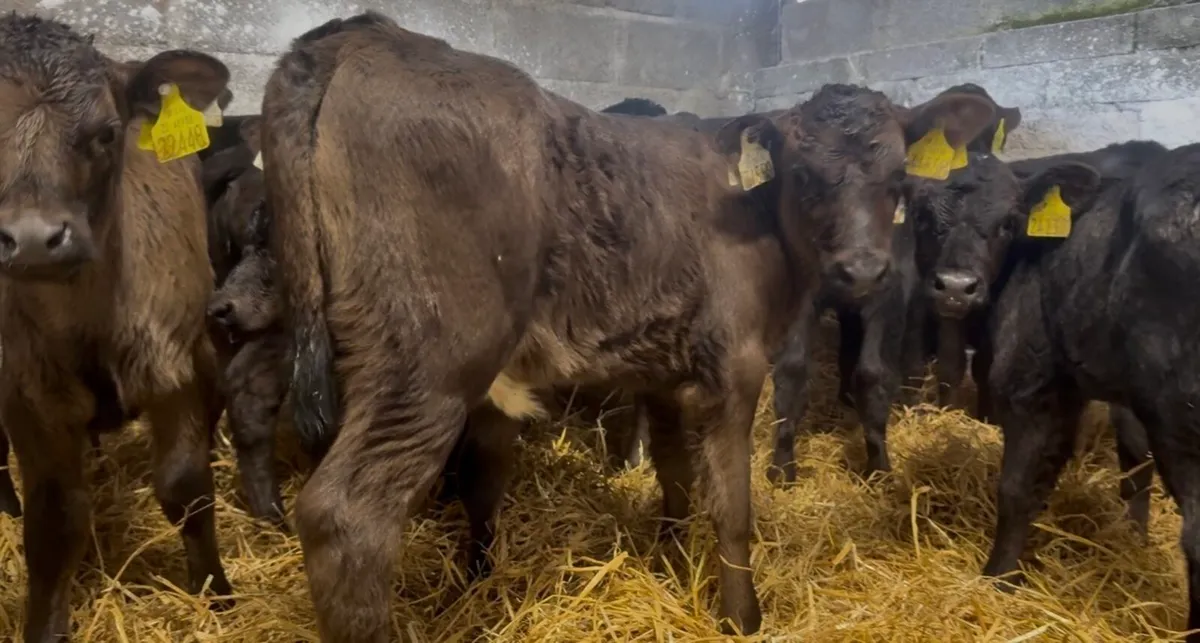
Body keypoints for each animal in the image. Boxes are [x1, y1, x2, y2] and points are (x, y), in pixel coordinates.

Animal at [0, 14, 235, 641]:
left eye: (107, 133)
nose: (33, 239)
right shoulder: (28, 394)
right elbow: (55, 520)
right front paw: (45, 623)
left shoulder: (179, 361)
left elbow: (185, 487)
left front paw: (217, 593)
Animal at [260, 12, 995, 639]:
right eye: (805, 174)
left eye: (897, 175)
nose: (863, 269)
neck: (760, 231)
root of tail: (367, 33)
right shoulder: (735, 367)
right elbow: (732, 505)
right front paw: (743, 616)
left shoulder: (666, 373)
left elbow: (675, 475)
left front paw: (672, 561)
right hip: (429, 358)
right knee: (347, 517)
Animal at [767, 84, 1022, 484]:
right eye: (801, 176)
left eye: (898, 175)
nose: (861, 269)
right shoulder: (800, 290)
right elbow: (790, 371)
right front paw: (781, 469)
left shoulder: (889, 290)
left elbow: (873, 373)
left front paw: (879, 468)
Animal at [952, 143, 1200, 642]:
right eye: (925, 213)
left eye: (1007, 222)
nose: (956, 287)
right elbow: (1133, 463)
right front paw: (1132, 538)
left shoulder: (1032, 377)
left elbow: (1017, 487)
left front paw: (998, 579)